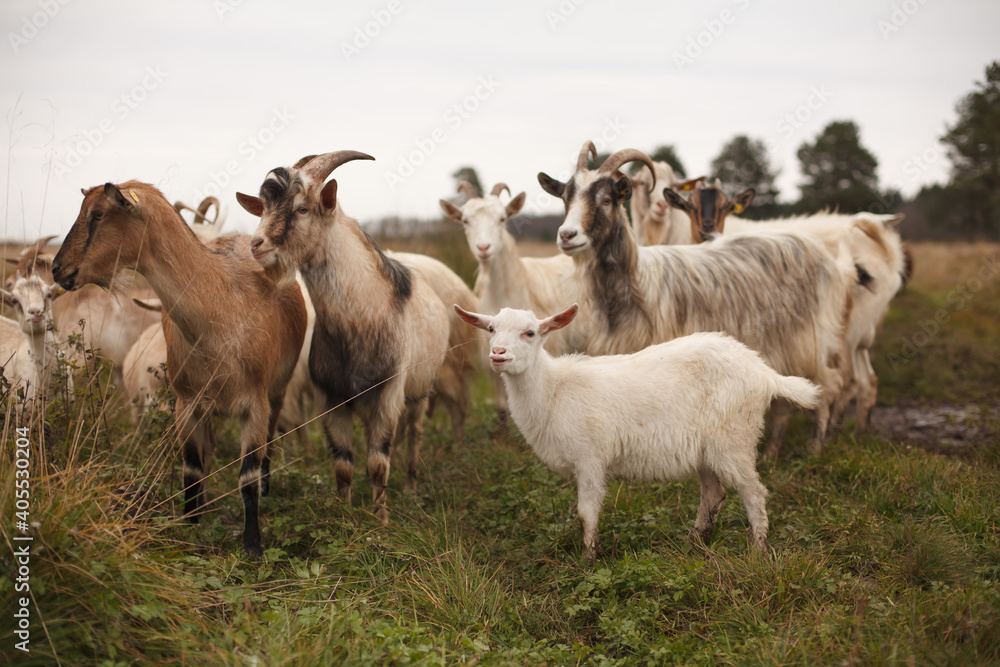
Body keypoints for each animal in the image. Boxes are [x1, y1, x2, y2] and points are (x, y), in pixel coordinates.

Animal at [51, 181, 308, 557]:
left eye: (97, 214)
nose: (58, 269)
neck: (221, 309)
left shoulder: (255, 404)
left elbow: (246, 478)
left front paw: (252, 546)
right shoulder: (187, 404)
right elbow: (191, 470)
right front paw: (189, 527)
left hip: (278, 391)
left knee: (270, 444)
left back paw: (266, 486)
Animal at [237, 151, 449, 522]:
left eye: (302, 208)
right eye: (262, 207)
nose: (257, 245)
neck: (359, 321)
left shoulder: (387, 397)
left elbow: (378, 464)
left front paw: (381, 520)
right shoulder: (332, 398)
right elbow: (343, 465)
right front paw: (344, 514)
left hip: (419, 393)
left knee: (414, 434)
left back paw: (410, 486)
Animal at [457, 304, 820, 562]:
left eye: (530, 333)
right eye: (491, 328)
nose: (498, 354)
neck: (553, 390)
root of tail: (764, 373)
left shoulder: (590, 459)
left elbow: (586, 514)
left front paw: (588, 561)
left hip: (734, 440)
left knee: (754, 493)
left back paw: (757, 551)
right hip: (707, 448)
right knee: (714, 495)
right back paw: (695, 542)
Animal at [538, 143, 853, 451]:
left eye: (606, 200)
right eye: (565, 199)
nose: (567, 235)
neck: (633, 282)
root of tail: (823, 253)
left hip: (812, 340)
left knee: (830, 384)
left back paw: (818, 443)